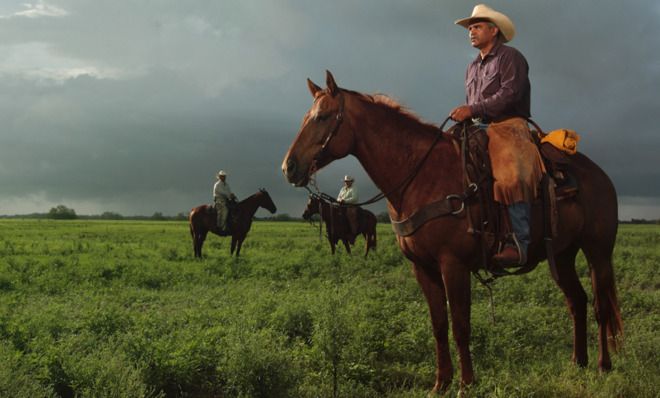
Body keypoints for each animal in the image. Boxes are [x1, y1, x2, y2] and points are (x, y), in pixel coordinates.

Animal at [282, 71, 620, 394]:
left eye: (323, 116)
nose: (289, 167)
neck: (420, 176)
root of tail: (598, 175)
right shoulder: (423, 268)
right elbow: (439, 325)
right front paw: (441, 383)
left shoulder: (453, 265)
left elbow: (460, 325)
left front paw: (465, 384)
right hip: (561, 255)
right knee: (577, 301)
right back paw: (578, 362)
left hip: (598, 251)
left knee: (601, 305)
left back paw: (603, 365)